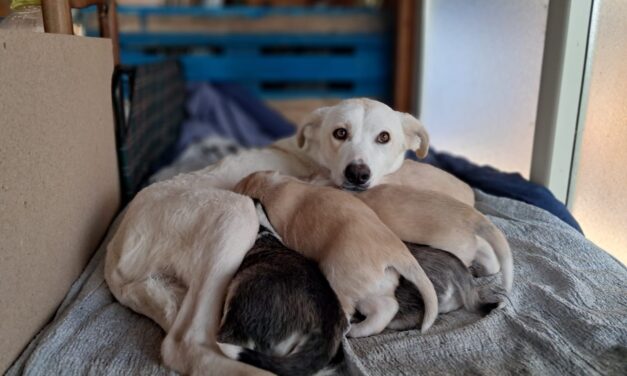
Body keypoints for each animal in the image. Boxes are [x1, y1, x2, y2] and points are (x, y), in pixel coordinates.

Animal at [233, 170, 440, 334]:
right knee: (386, 308)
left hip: (339, 278)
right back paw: (359, 331)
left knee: (348, 315)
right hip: (372, 287)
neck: (271, 186)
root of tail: (400, 254)